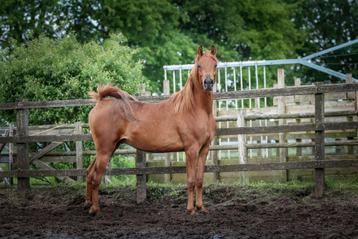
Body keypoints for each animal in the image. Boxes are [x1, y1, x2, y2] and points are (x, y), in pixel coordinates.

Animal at [86, 46, 218, 215]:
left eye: (215, 65)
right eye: (199, 65)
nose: (208, 83)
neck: (194, 109)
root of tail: (100, 101)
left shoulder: (204, 149)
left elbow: (200, 180)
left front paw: (201, 208)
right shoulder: (191, 149)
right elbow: (191, 180)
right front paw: (190, 209)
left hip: (109, 148)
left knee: (90, 173)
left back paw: (88, 204)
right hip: (105, 150)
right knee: (96, 177)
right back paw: (95, 209)